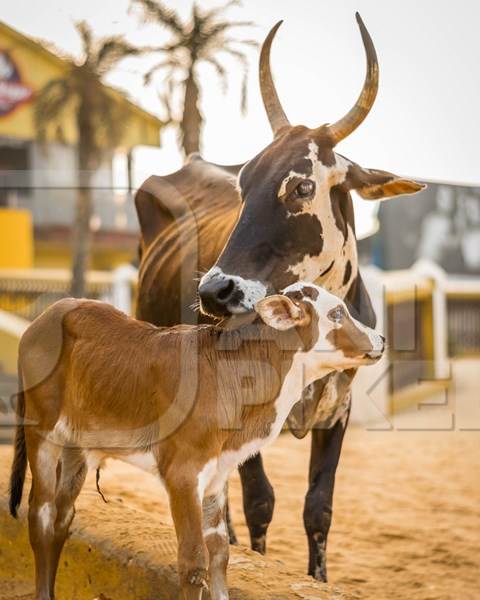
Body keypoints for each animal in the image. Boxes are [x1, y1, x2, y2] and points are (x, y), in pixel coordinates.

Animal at [7, 282, 384, 600]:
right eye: (336, 313)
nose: (380, 339)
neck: (232, 374)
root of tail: (44, 319)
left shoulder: (217, 475)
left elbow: (219, 553)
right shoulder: (183, 474)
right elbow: (192, 563)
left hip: (76, 449)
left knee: (62, 518)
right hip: (42, 436)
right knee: (40, 516)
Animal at [134, 12, 424, 580]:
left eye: (302, 187)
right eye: (242, 184)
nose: (215, 291)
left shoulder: (339, 408)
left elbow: (319, 508)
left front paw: (319, 577)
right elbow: (260, 501)